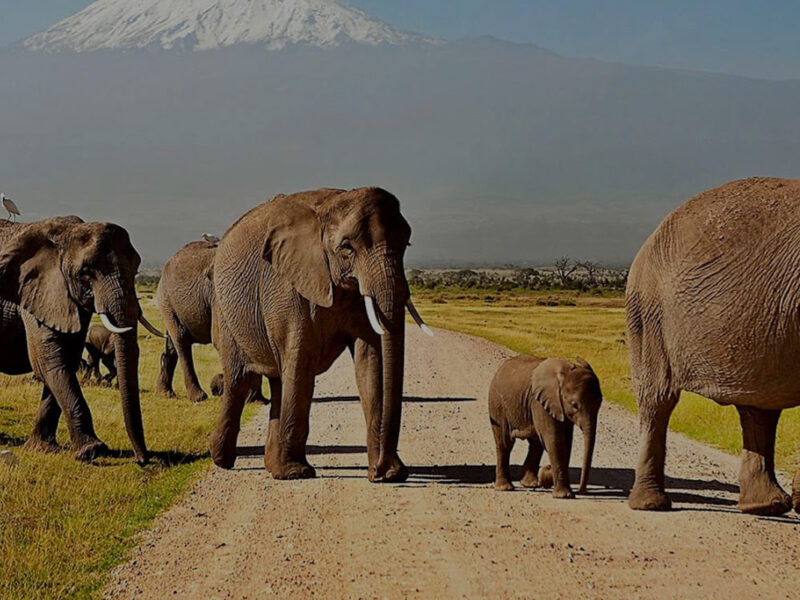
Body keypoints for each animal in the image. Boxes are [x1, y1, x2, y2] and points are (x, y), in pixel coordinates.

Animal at [0, 216, 162, 464]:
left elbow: (66, 360)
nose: (142, 460)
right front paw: (92, 451)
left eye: (136, 269)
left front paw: (43, 449)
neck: (65, 233)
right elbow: (50, 362)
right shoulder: (36, 293)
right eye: (86, 272)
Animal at [155, 239, 266, 404]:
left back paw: (165, 393)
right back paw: (198, 397)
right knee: (181, 340)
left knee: (172, 346)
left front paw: (257, 400)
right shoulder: (217, 296)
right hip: (167, 301)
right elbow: (221, 339)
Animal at [208, 188, 432, 482]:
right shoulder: (287, 285)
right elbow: (301, 361)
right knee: (239, 380)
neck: (330, 206)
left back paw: (270, 465)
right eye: (347, 247)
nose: (380, 471)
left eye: (406, 244)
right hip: (225, 313)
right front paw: (296, 474)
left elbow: (370, 361)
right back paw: (222, 460)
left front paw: (392, 474)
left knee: (279, 379)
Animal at [488, 356, 600, 496]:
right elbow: (554, 440)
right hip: (497, 403)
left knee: (536, 443)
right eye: (574, 405)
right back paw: (505, 488)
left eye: (600, 404)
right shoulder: (540, 402)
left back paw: (530, 484)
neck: (564, 374)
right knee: (505, 443)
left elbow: (566, 442)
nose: (582, 492)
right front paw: (564, 495)